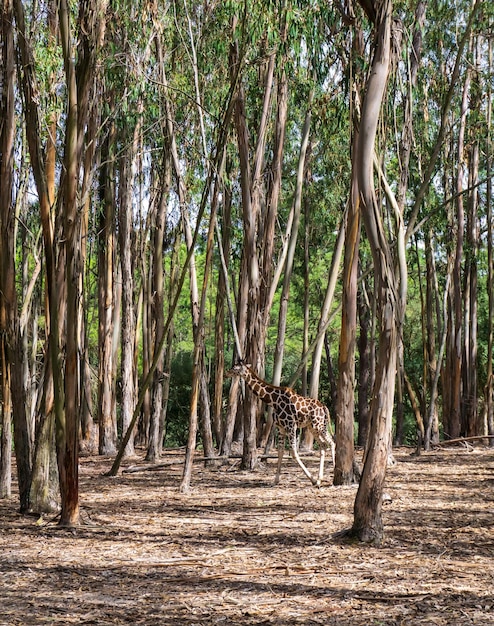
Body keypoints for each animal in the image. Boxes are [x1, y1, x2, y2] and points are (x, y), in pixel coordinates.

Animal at [225, 358, 334, 486]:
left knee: (331, 442)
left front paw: (312, 479)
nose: (227, 373)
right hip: (313, 427)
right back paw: (320, 478)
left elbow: (293, 453)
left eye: (235, 367)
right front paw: (276, 480)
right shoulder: (281, 428)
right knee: (324, 445)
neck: (273, 400)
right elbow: (280, 452)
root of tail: (324, 407)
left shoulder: (291, 426)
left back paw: (328, 476)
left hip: (319, 426)